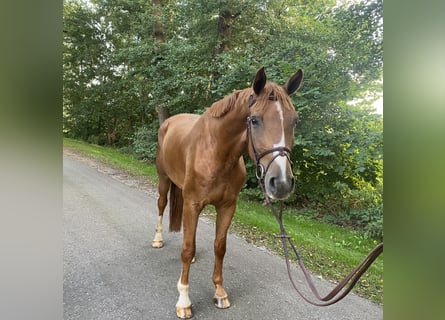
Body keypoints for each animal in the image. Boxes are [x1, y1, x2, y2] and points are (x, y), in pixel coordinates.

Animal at [152, 67, 302, 318]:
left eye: (295, 121)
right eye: (254, 120)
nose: (281, 182)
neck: (216, 152)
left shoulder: (227, 206)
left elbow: (219, 247)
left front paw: (220, 293)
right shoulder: (193, 203)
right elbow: (186, 248)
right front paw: (184, 300)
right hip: (164, 181)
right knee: (162, 205)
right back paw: (157, 240)